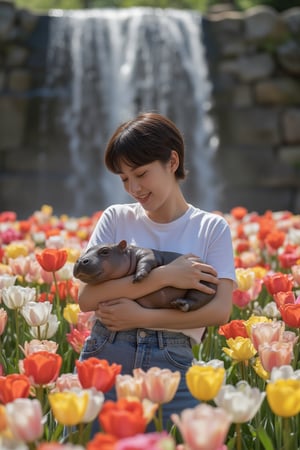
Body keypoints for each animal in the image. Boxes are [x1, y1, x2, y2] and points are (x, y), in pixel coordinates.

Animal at [73, 239, 217, 312]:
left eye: (105, 251)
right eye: (87, 250)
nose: (80, 260)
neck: (129, 253)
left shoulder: (148, 254)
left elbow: (145, 262)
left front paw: (138, 277)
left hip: (203, 285)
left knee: (196, 299)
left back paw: (181, 304)